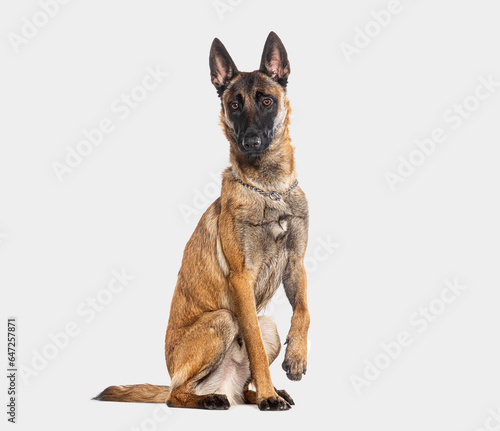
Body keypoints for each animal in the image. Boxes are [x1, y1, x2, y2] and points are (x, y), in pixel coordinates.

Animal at [94, 31, 308, 412]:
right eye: (234, 105)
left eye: (267, 101)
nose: (251, 141)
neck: (270, 189)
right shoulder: (241, 279)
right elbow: (253, 344)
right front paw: (269, 395)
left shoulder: (296, 265)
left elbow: (304, 311)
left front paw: (296, 357)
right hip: (221, 321)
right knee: (175, 396)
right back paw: (220, 398)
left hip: (268, 324)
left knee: (243, 386)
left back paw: (257, 393)